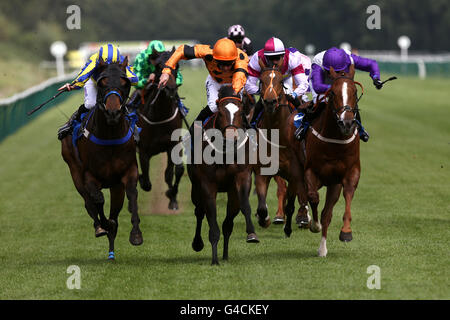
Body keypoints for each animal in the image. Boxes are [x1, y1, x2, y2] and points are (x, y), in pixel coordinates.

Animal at [60, 57, 142, 260]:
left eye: (124, 82)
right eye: (102, 82)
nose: (113, 112)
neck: (110, 136)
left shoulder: (128, 171)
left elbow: (132, 194)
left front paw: (136, 235)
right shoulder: (89, 176)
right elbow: (97, 200)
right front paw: (105, 226)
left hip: (115, 186)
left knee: (114, 208)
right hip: (74, 171)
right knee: (88, 202)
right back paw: (101, 228)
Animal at [138, 50, 185, 210]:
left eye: (177, 66)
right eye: (158, 66)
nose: (170, 88)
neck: (160, 115)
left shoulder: (173, 145)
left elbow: (173, 172)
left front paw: (172, 198)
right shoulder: (143, 150)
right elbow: (146, 182)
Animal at [189, 85, 258, 264]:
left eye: (240, 112)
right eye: (220, 113)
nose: (231, 139)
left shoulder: (242, 177)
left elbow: (245, 206)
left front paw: (252, 234)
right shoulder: (207, 184)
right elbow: (212, 219)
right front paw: (214, 260)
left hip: (231, 192)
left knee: (228, 223)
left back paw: (225, 255)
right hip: (195, 188)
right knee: (199, 211)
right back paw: (197, 243)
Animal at [253, 65, 310, 236]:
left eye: (280, 81)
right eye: (262, 80)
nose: (270, 102)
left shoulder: (294, 172)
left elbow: (292, 200)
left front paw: (294, 223)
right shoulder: (263, 170)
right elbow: (263, 203)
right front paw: (264, 218)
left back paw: (303, 217)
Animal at [300, 65, 364, 258]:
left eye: (354, 91)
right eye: (333, 93)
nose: (347, 123)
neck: (334, 140)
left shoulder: (348, 173)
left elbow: (347, 194)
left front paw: (346, 232)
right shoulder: (310, 171)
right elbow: (313, 197)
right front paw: (314, 225)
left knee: (327, 212)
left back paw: (322, 249)